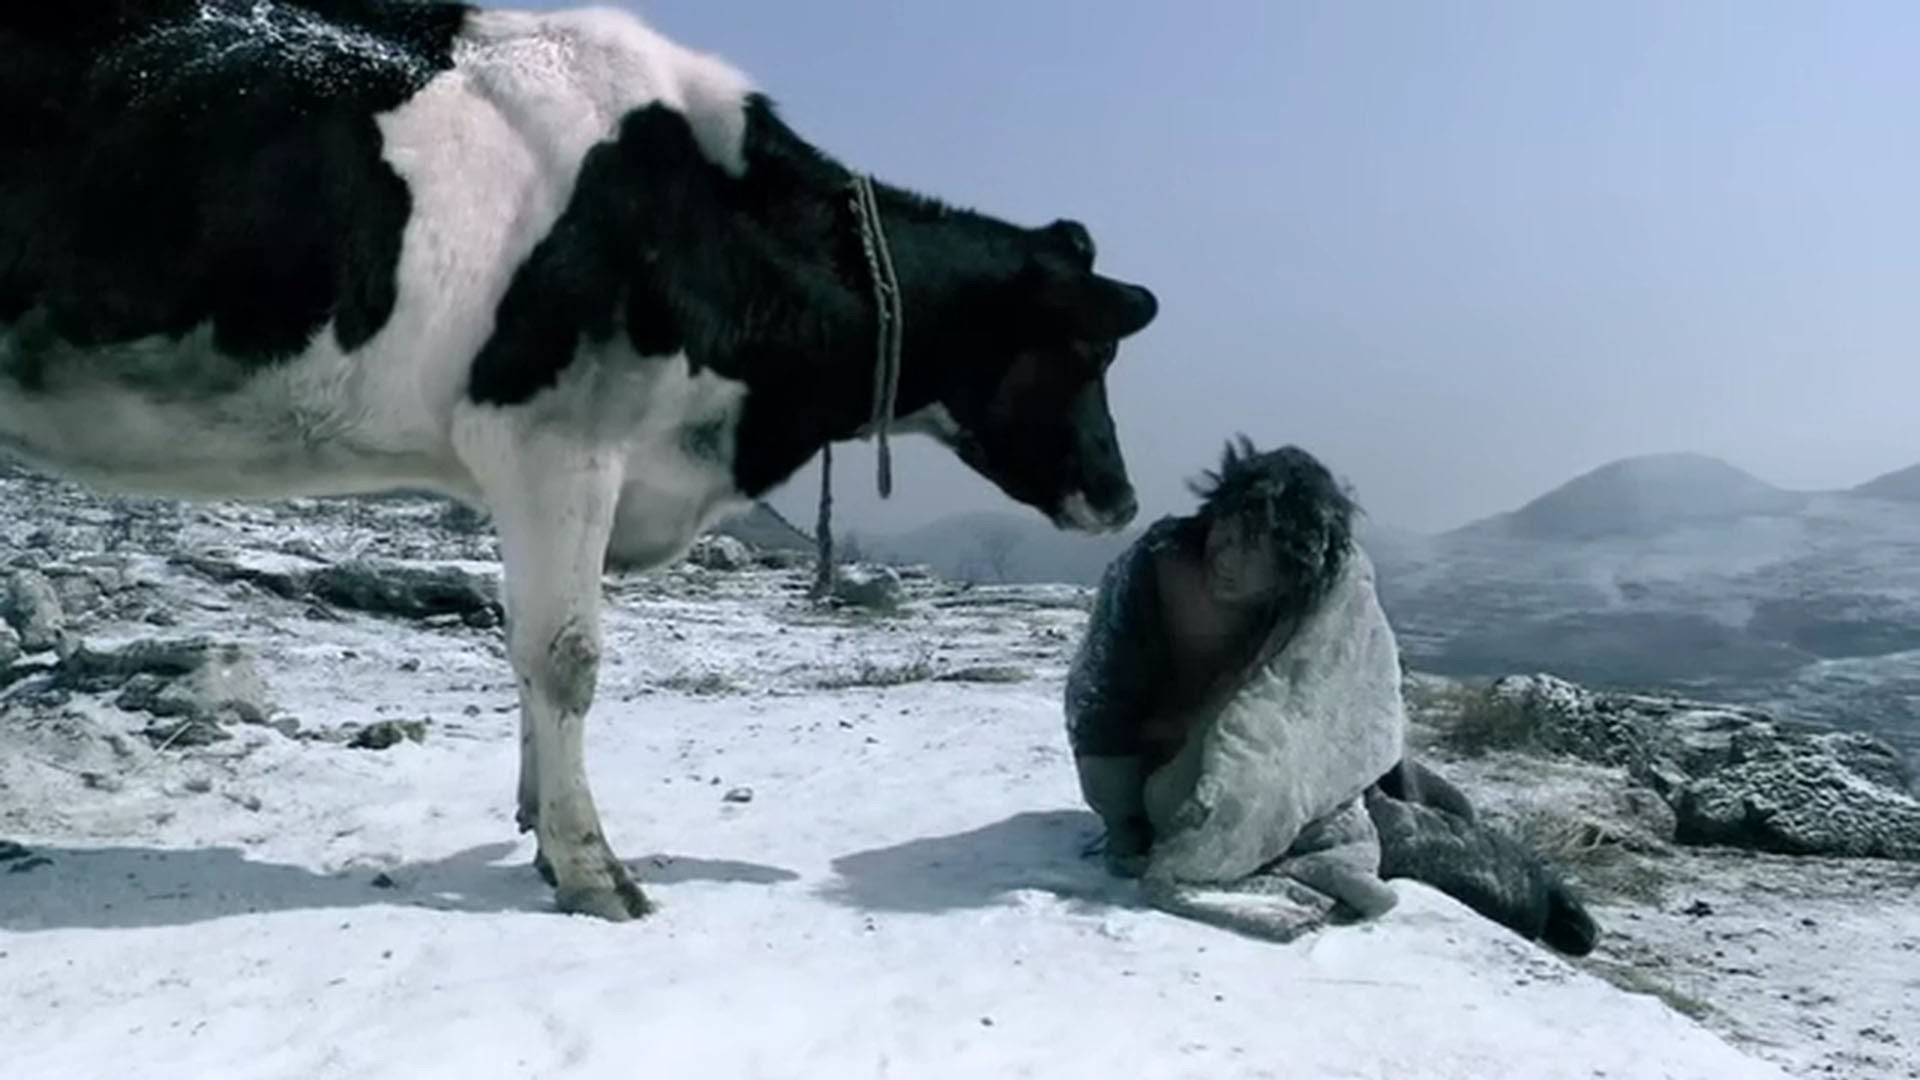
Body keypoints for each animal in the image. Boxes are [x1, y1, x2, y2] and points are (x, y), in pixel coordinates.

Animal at [0, 1, 1160, 921]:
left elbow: (522, 645)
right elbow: (566, 655)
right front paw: (589, 865)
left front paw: (533, 818)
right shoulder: (557, 437)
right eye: (1087, 350)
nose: (1121, 498)